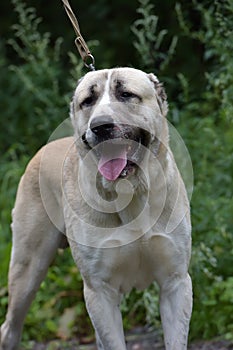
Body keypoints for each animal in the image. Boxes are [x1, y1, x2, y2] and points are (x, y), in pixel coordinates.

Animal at [0, 67, 192, 348]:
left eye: (126, 94)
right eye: (88, 101)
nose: (100, 126)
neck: (131, 193)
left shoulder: (175, 282)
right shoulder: (99, 291)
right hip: (28, 268)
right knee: (10, 327)